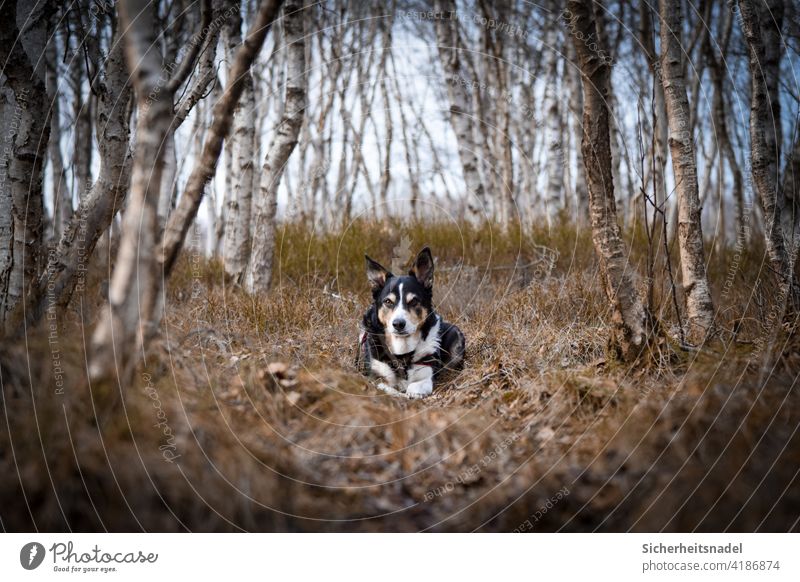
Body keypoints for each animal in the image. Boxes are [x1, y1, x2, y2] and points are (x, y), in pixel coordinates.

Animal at [354, 246, 462, 402]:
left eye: (414, 301)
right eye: (388, 301)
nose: (398, 324)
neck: (402, 350)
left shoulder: (426, 375)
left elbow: (414, 387)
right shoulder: (375, 375)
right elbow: (384, 386)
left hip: (456, 337)